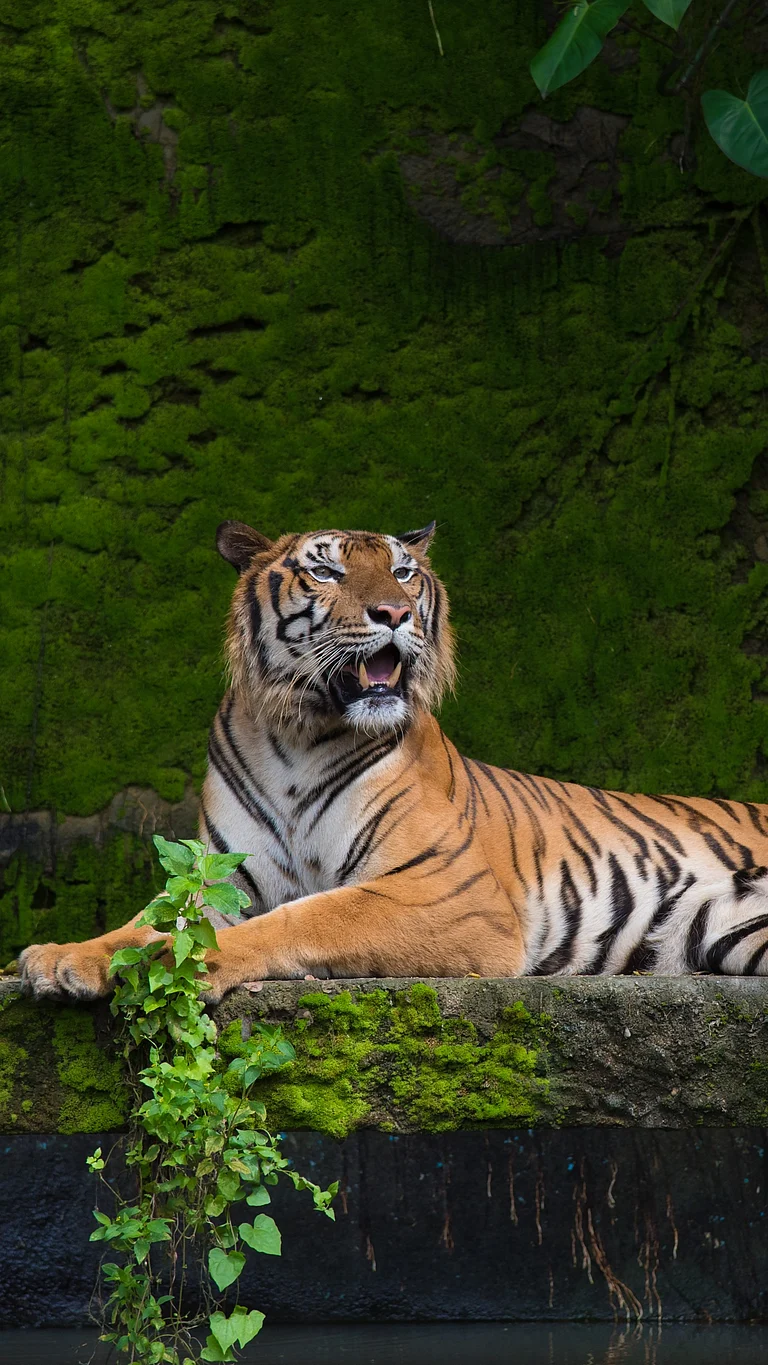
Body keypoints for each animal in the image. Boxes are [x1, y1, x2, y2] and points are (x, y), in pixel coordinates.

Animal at [19, 519, 768, 1002]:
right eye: (326, 569)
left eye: (404, 572)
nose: (395, 611)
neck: (297, 735)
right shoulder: (221, 877)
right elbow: (148, 920)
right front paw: (61, 958)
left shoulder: (450, 891)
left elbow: (307, 916)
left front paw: (188, 963)